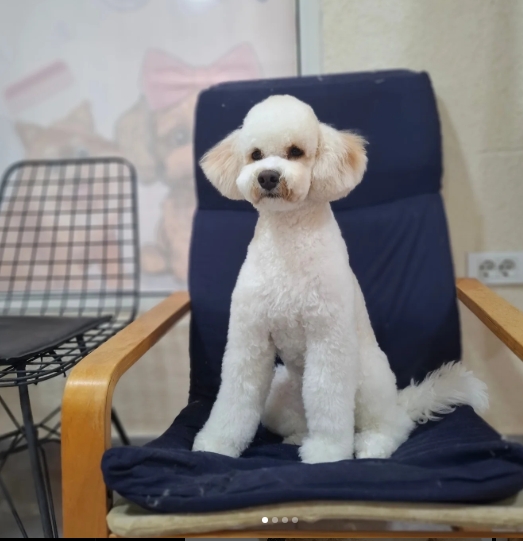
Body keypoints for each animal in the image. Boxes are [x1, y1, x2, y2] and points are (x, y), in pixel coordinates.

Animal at [192, 95, 488, 464]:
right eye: (255, 154)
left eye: (296, 151)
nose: (268, 176)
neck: (288, 245)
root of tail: (399, 401)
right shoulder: (250, 338)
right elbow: (235, 395)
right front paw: (216, 445)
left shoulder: (327, 338)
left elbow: (327, 397)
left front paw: (327, 452)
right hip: (279, 395)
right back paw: (297, 437)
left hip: (368, 380)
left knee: (393, 426)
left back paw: (371, 444)